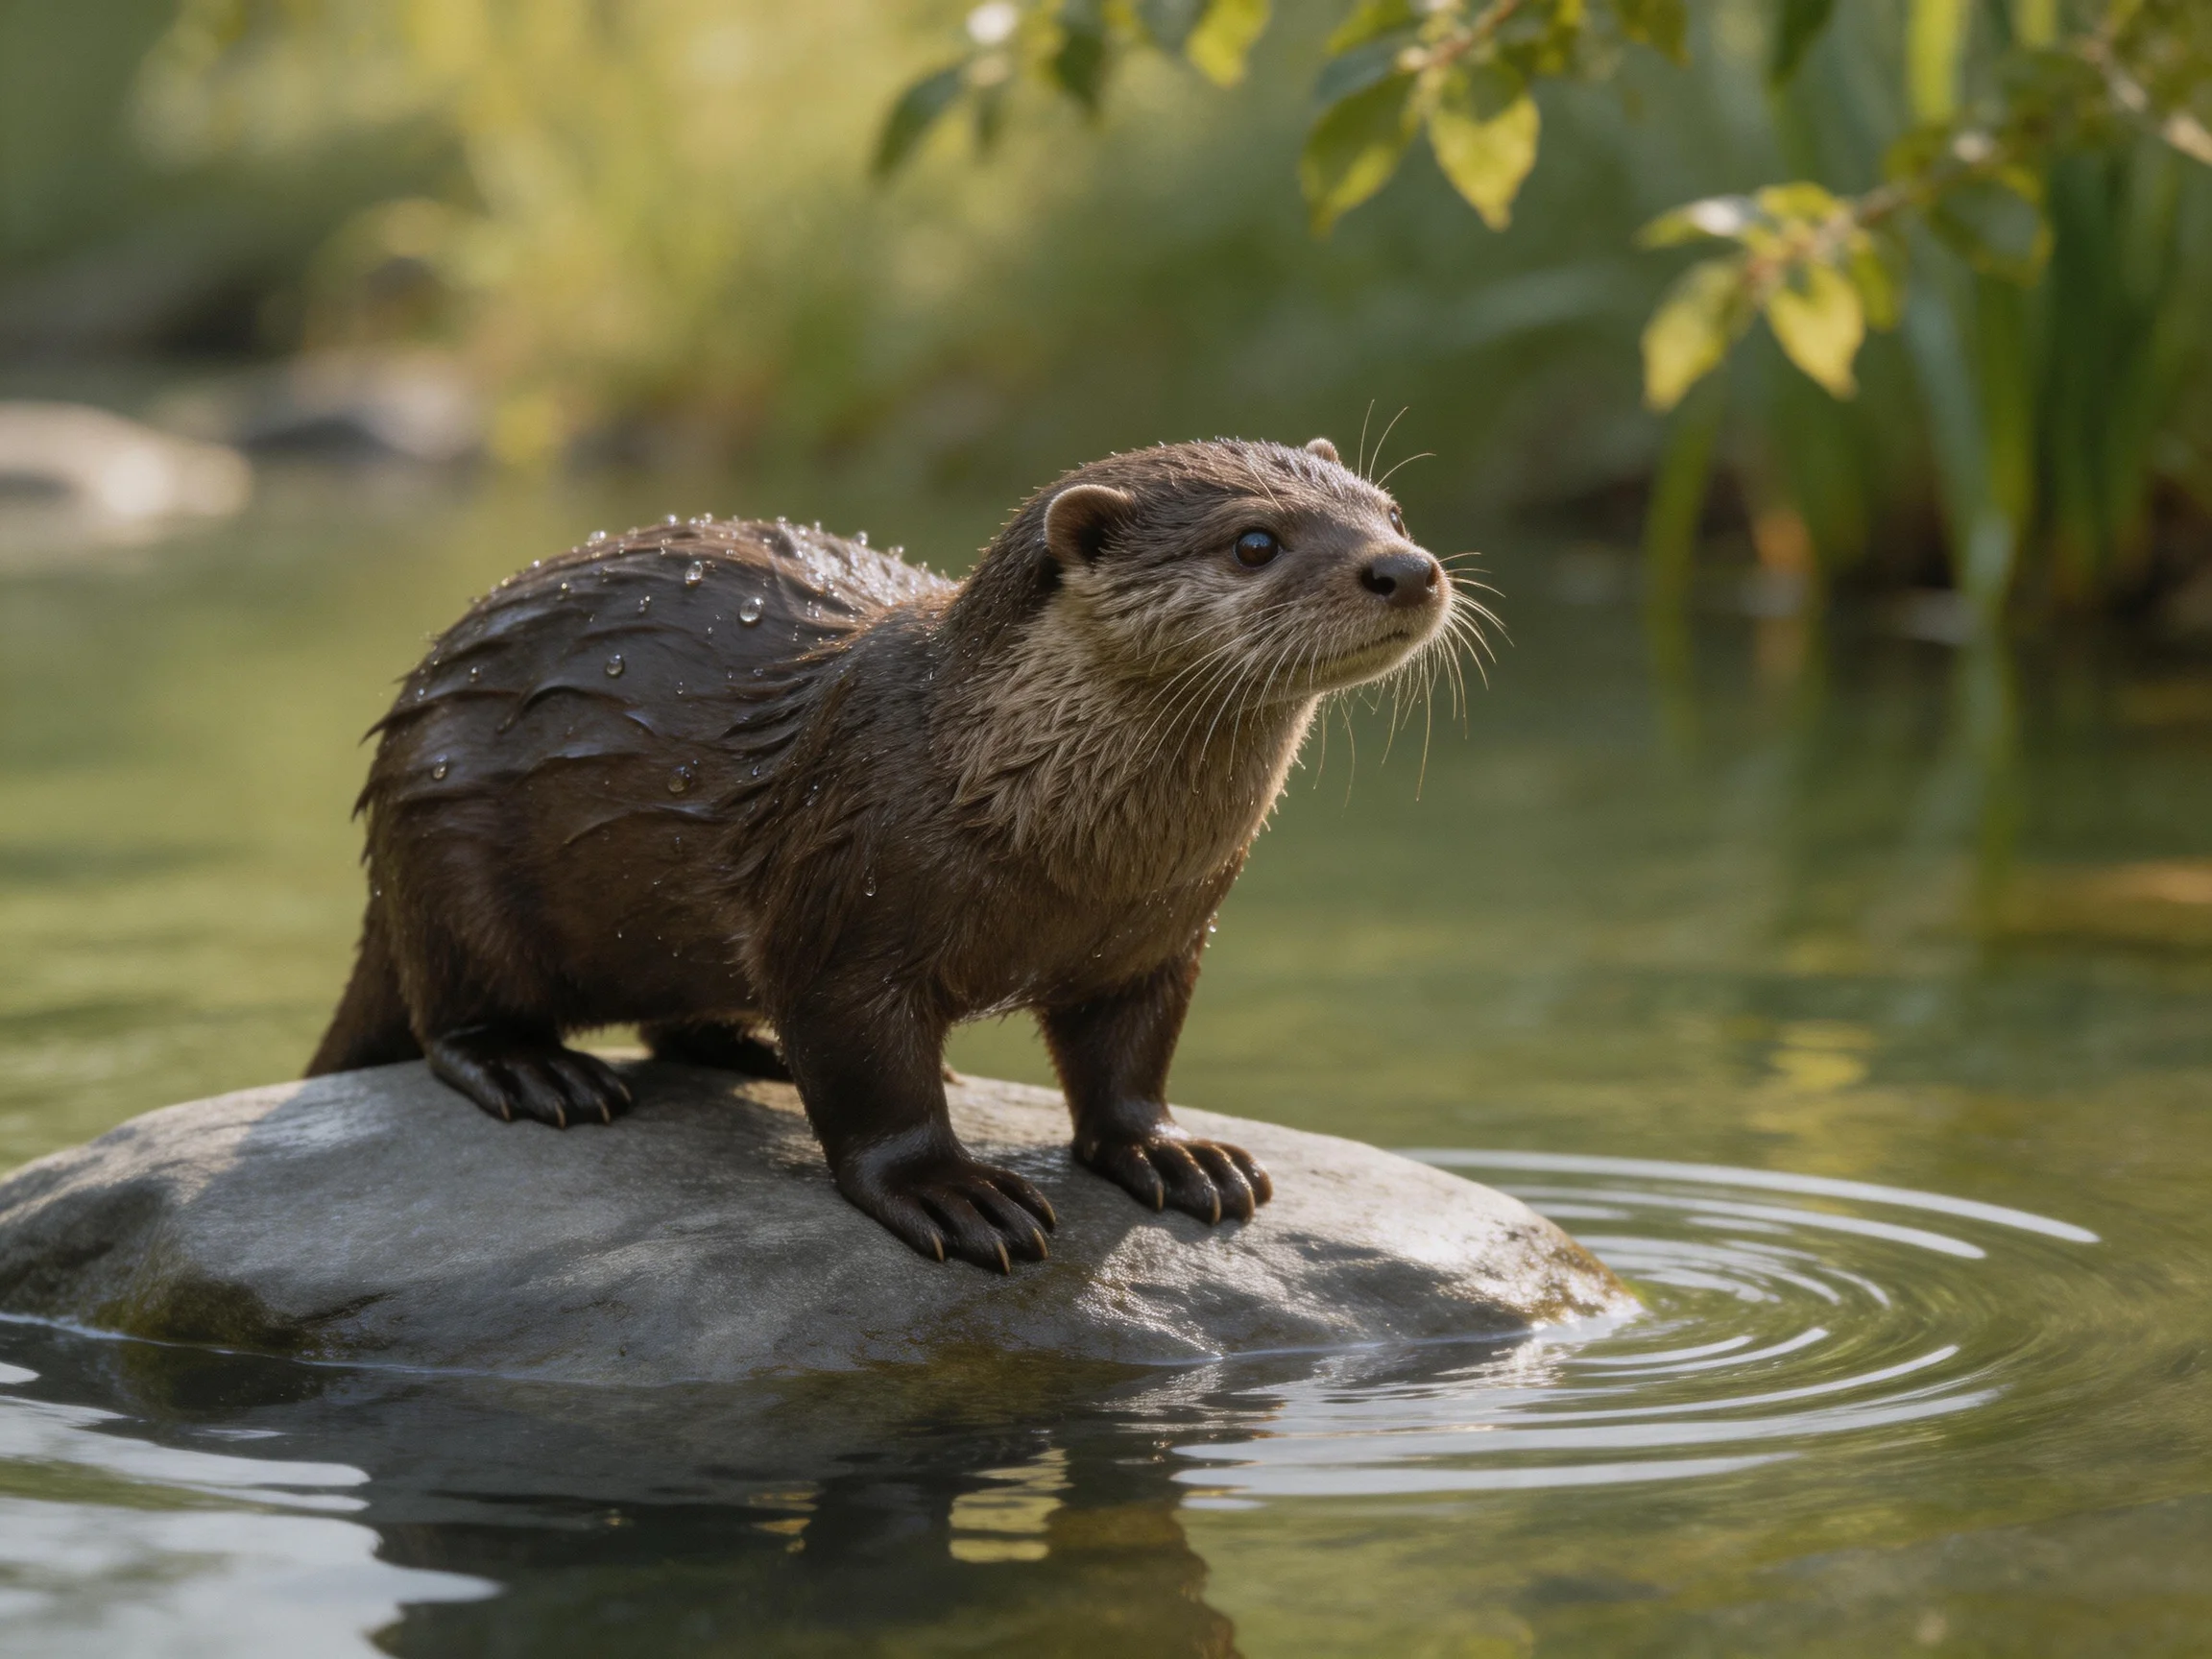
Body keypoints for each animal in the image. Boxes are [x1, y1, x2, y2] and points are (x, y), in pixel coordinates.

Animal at [309, 437, 1466, 1270]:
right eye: (1254, 542)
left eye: (1392, 511)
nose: (1405, 567)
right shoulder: (841, 910)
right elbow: (875, 1087)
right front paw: (952, 1194)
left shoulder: (1162, 938)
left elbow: (1130, 1063)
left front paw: (1172, 1151)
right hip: (448, 844)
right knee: (452, 1012)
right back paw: (539, 1068)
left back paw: (752, 1051)